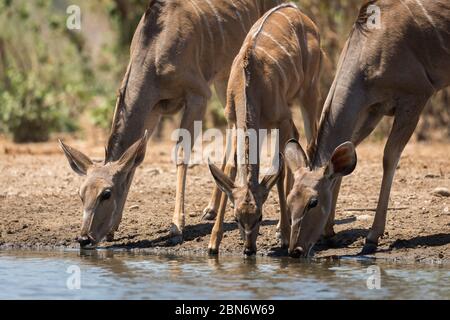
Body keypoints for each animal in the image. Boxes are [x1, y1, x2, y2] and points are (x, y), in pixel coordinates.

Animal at [56, 0, 284, 249]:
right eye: (81, 194)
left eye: (106, 194)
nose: (84, 238)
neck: (155, 50)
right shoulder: (154, 109)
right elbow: (135, 161)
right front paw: (113, 229)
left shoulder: (197, 95)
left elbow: (181, 153)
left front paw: (176, 226)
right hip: (226, 77)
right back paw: (211, 209)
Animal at [207, 3, 324, 255]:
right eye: (237, 218)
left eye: (260, 217)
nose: (249, 249)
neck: (250, 85)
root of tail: (296, 9)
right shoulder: (234, 122)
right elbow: (231, 167)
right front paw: (213, 242)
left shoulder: (280, 119)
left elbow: (278, 170)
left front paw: (284, 235)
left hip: (308, 92)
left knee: (310, 142)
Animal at [284, 0, 450, 258]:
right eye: (290, 200)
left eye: (313, 202)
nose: (295, 251)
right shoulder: (374, 110)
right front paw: (328, 233)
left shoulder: (416, 97)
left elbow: (389, 158)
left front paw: (372, 237)